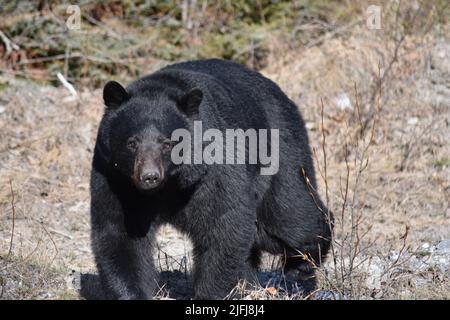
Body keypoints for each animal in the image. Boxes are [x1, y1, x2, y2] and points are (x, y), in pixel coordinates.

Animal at [89, 58, 332, 300]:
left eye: (167, 143)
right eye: (132, 143)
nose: (149, 176)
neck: (170, 184)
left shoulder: (211, 171)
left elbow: (223, 225)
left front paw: (210, 293)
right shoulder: (116, 178)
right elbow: (119, 233)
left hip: (277, 153)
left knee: (291, 219)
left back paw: (300, 268)